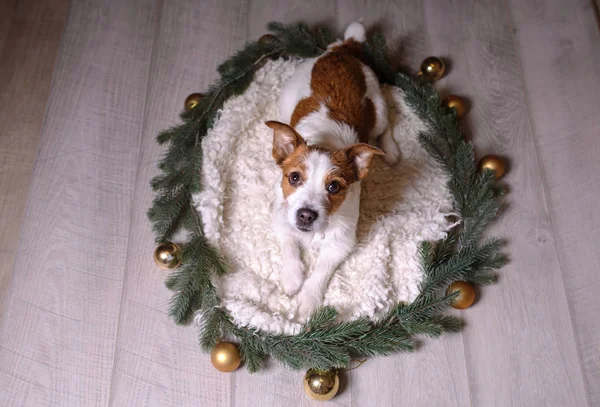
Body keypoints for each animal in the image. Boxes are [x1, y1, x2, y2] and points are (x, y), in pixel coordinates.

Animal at [266, 20, 398, 318]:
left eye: (334, 186)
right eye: (294, 178)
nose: (306, 215)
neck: (324, 141)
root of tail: (340, 51)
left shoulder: (341, 243)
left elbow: (321, 271)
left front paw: (308, 298)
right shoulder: (281, 216)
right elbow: (289, 244)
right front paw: (292, 277)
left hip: (379, 106)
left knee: (384, 129)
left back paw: (392, 150)